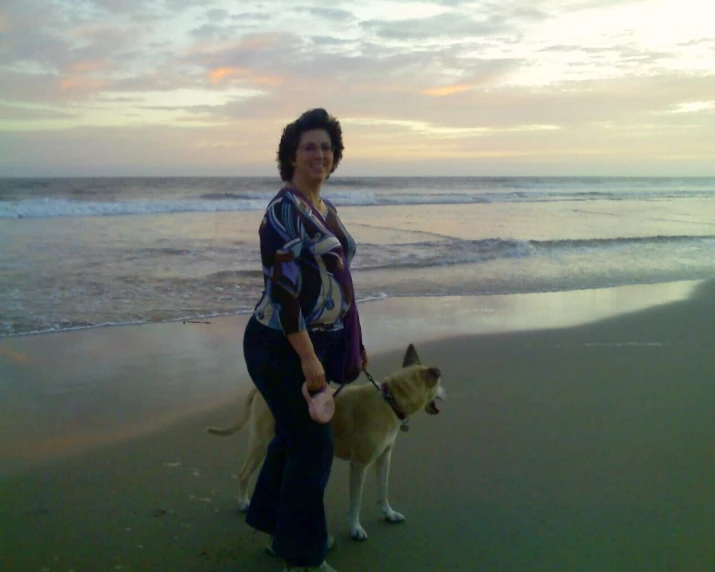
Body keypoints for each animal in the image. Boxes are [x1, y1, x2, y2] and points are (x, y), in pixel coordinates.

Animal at [206, 344, 448, 540]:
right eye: (439, 384)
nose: (447, 394)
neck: (390, 400)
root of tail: (259, 389)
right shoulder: (359, 465)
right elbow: (356, 501)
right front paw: (355, 528)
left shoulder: (384, 458)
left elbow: (383, 490)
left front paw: (388, 513)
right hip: (260, 443)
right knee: (243, 473)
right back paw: (242, 502)